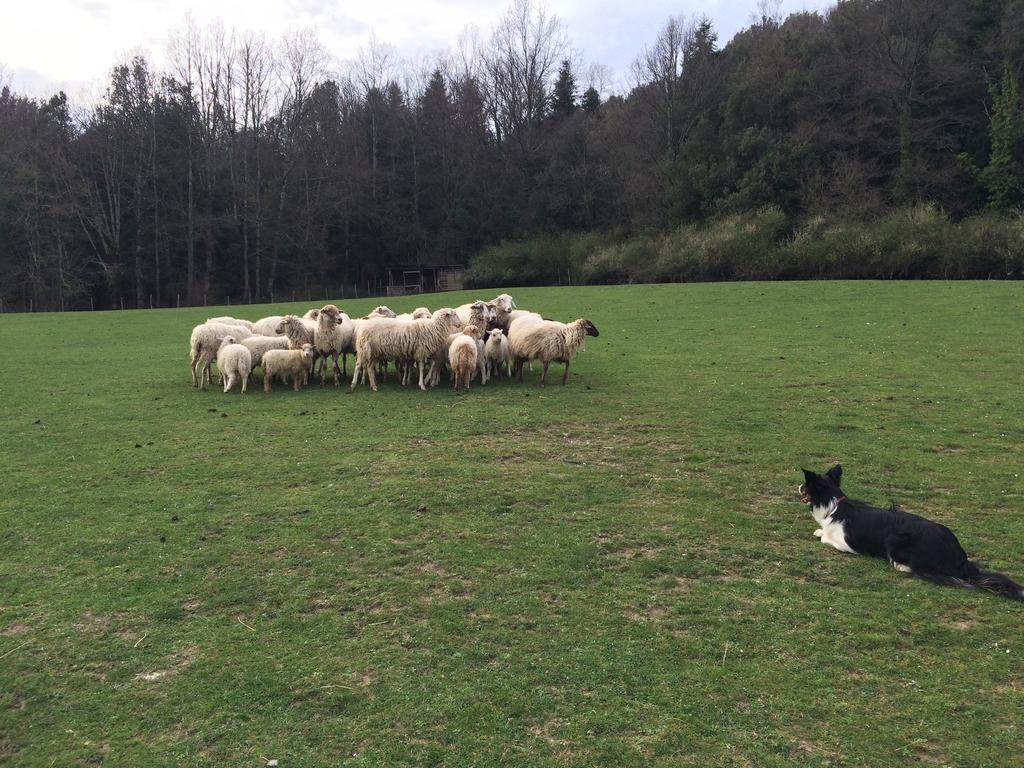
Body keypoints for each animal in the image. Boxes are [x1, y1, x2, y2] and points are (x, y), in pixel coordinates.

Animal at [798, 462, 1024, 602]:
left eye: (806, 486)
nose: (799, 486)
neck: (834, 504)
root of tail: (960, 558)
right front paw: (819, 530)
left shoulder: (846, 544)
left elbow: (826, 539)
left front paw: (821, 533)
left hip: (894, 540)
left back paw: (901, 566)